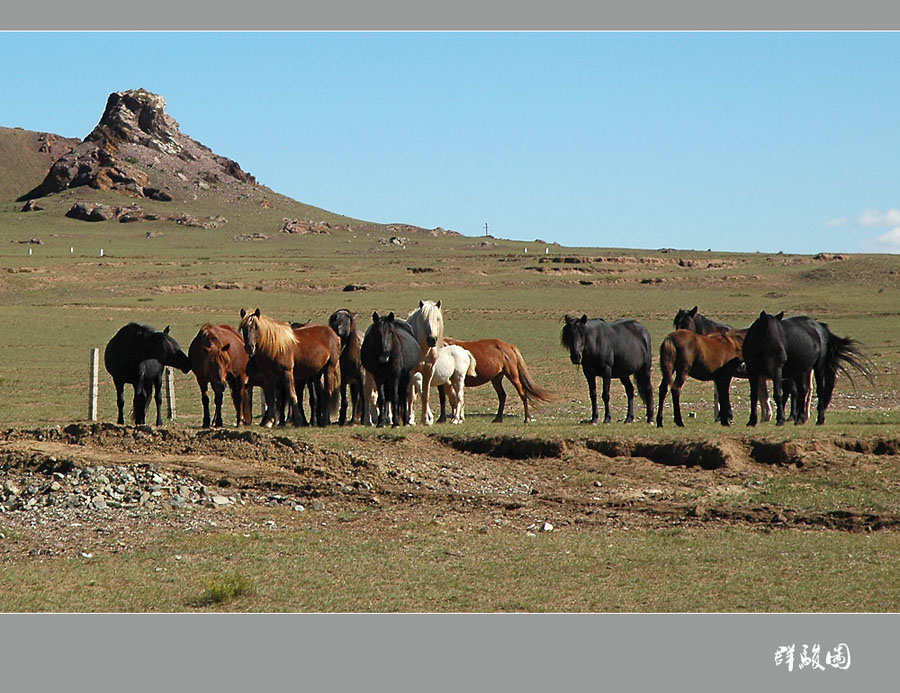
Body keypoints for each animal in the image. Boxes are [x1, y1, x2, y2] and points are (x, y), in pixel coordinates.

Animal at [740, 310, 872, 428]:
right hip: (800, 370)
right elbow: (754, 395)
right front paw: (752, 421)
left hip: (818, 368)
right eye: (770, 335)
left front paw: (780, 420)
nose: (783, 357)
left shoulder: (776, 370)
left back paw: (819, 419)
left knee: (819, 391)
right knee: (802, 391)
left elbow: (778, 394)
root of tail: (820, 328)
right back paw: (800, 419)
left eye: (780, 334)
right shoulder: (752, 372)